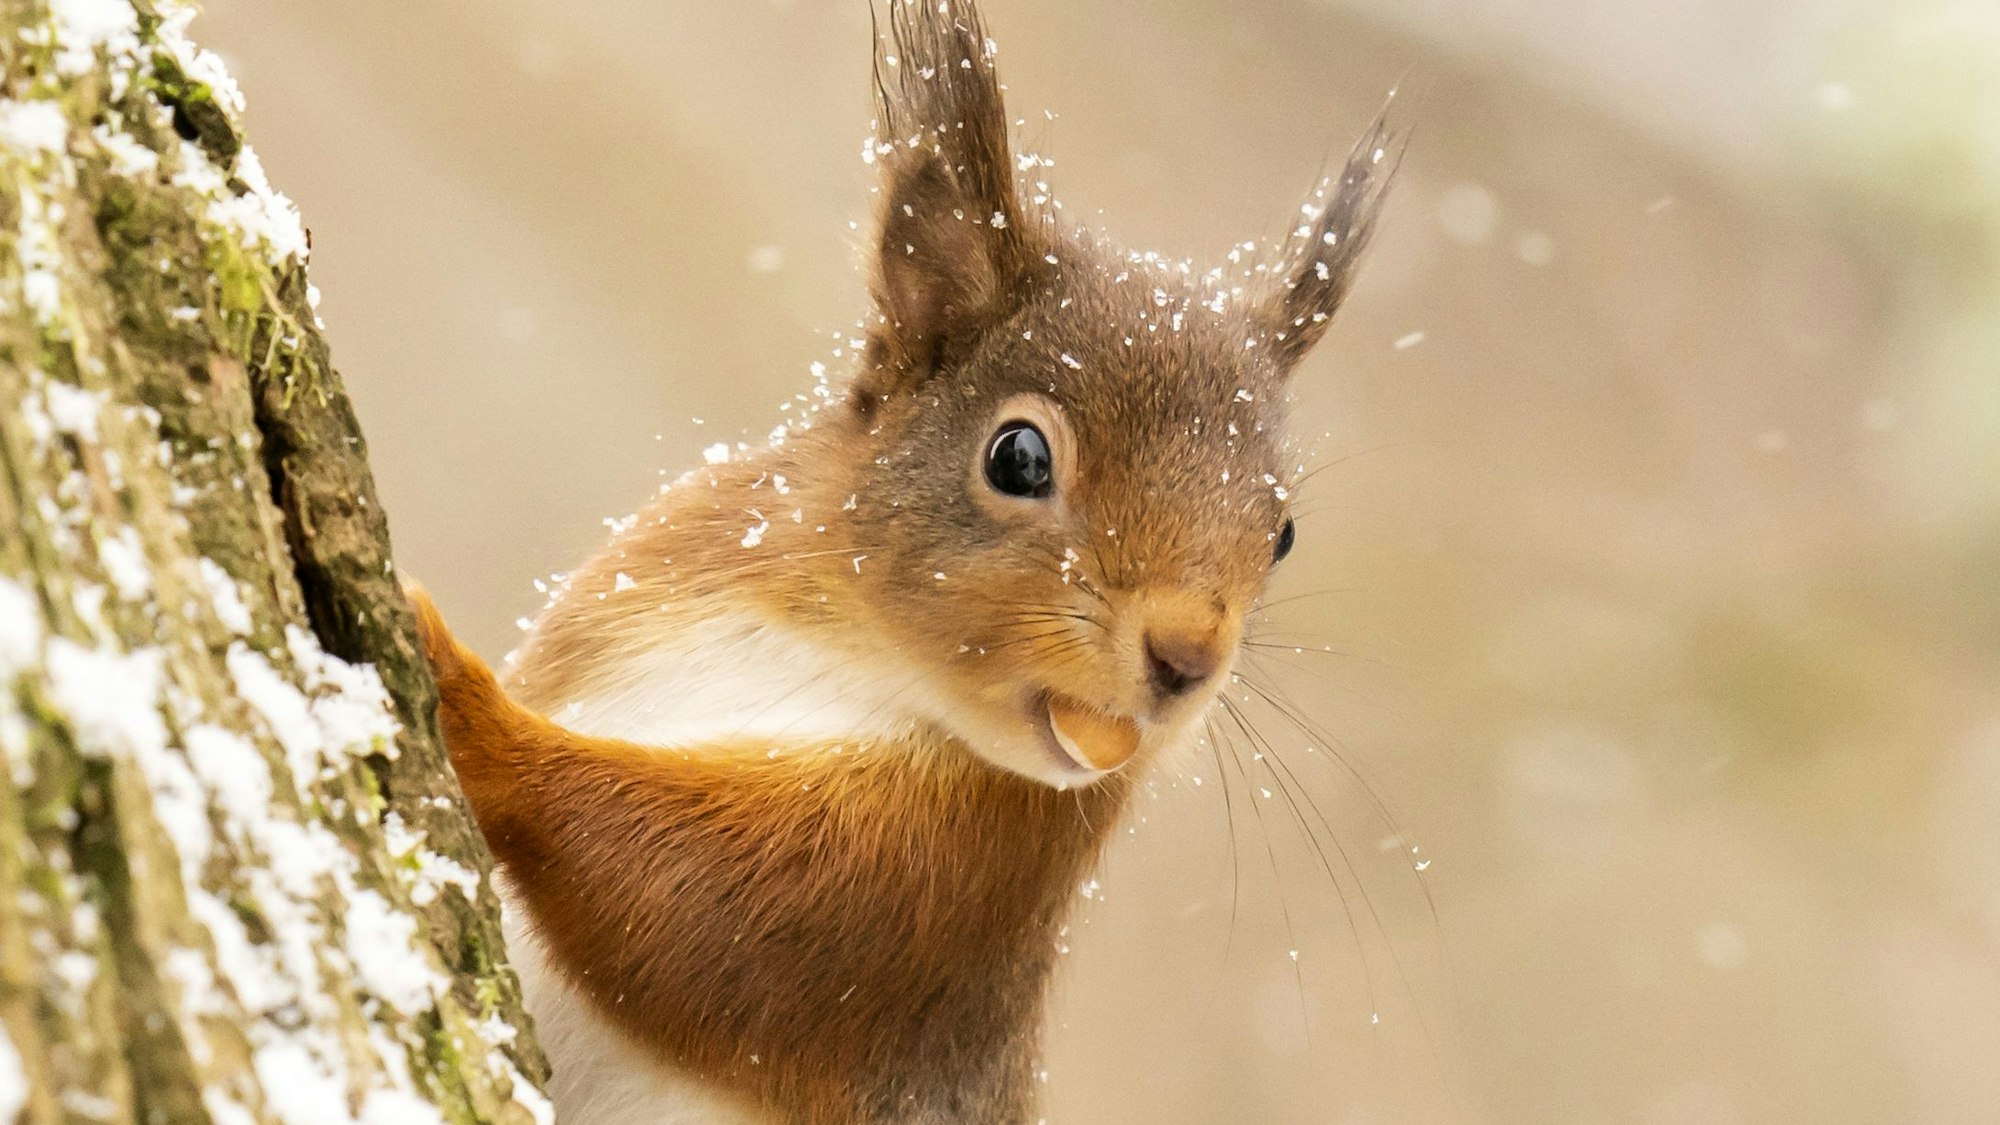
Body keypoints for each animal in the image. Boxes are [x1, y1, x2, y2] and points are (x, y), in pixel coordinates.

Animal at [406, 1, 1397, 1121]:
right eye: (1019, 456)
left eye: (1281, 533)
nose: (1187, 656)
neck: (846, 647)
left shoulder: (941, 892)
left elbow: (693, 907)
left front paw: (463, 694)